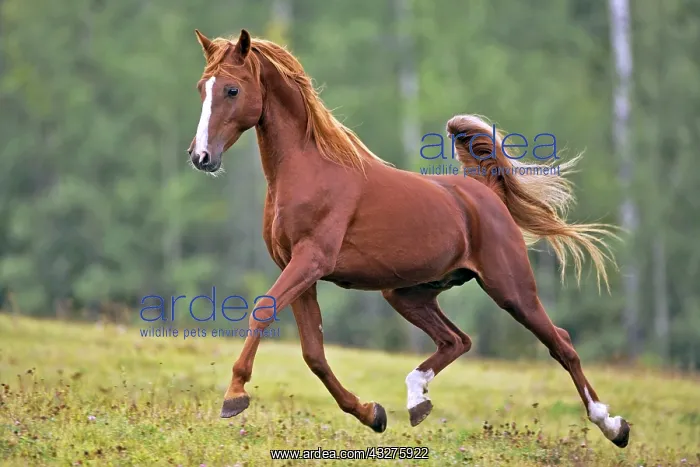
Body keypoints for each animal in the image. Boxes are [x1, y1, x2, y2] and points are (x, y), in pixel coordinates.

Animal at [186, 28, 630, 448]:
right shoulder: (298, 271)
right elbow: (314, 353)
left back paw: (614, 426)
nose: (201, 157)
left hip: (512, 289)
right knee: (457, 340)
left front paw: (234, 395)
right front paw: (372, 414)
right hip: (407, 293)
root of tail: (482, 191)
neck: (310, 170)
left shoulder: (311, 260)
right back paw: (417, 401)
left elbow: (263, 310)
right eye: (201, 88)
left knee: (562, 343)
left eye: (232, 89)